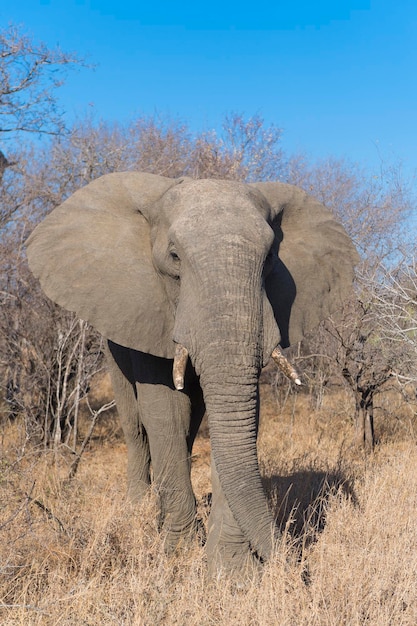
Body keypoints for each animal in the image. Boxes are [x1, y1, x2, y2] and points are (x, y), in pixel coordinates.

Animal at [26, 172, 358, 576]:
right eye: (174, 257)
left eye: (270, 259)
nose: (297, 569)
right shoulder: (149, 309)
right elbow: (165, 410)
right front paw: (180, 554)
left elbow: (240, 413)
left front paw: (232, 572)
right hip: (112, 339)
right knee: (137, 425)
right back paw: (139, 511)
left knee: (190, 422)